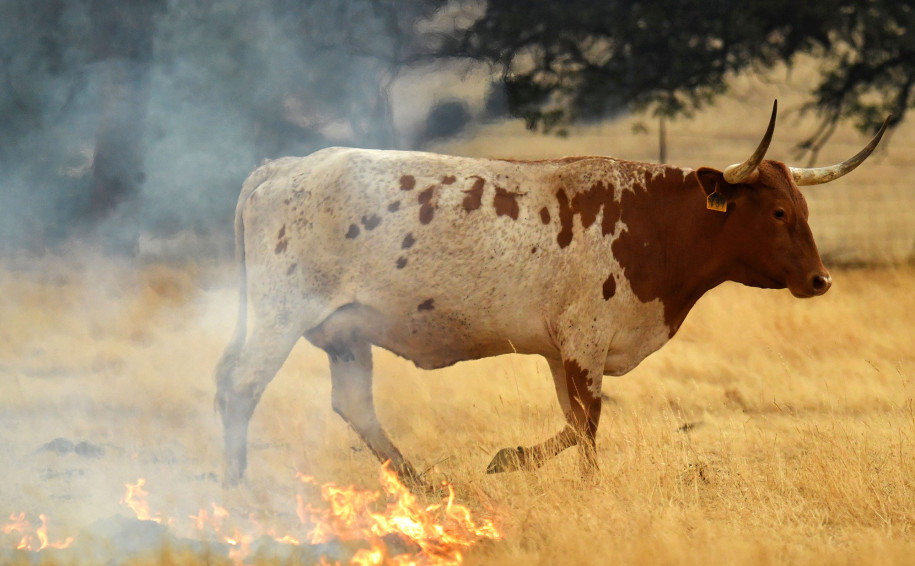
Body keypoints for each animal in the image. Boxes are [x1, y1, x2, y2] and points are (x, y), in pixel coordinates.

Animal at [215, 104, 888, 486]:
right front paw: (580, 486)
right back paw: (237, 490)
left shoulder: (560, 352)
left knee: (353, 405)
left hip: (345, 332)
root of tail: (280, 168)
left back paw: (423, 488)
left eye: (804, 209)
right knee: (241, 385)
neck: (651, 220)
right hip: (279, 316)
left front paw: (508, 460)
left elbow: (572, 423)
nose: (821, 280)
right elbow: (588, 426)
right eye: (777, 212)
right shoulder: (585, 343)